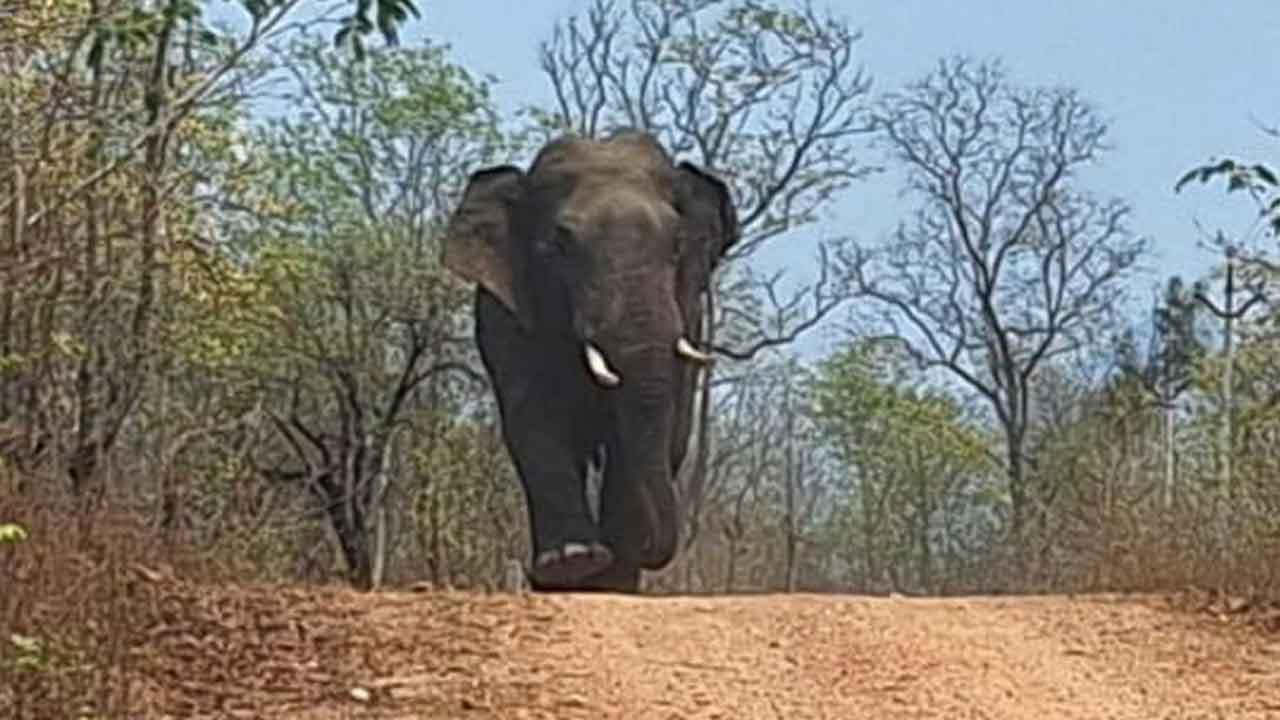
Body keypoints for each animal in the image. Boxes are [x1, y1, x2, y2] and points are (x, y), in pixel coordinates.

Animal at [441, 129, 739, 592]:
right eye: (558, 246)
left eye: (677, 245)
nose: (650, 548)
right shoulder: (507, 318)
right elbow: (535, 417)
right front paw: (573, 562)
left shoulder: (689, 316)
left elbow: (650, 430)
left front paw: (612, 574)